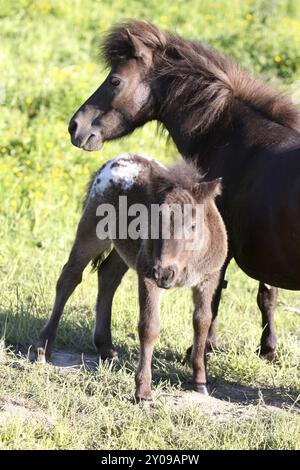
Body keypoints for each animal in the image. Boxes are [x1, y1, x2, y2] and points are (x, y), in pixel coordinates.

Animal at [69, 20, 300, 362]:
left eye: (115, 80)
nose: (75, 126)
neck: (232, 138)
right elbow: (266, 294)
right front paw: (267, 349)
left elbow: (216, 297)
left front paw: (202, 350)